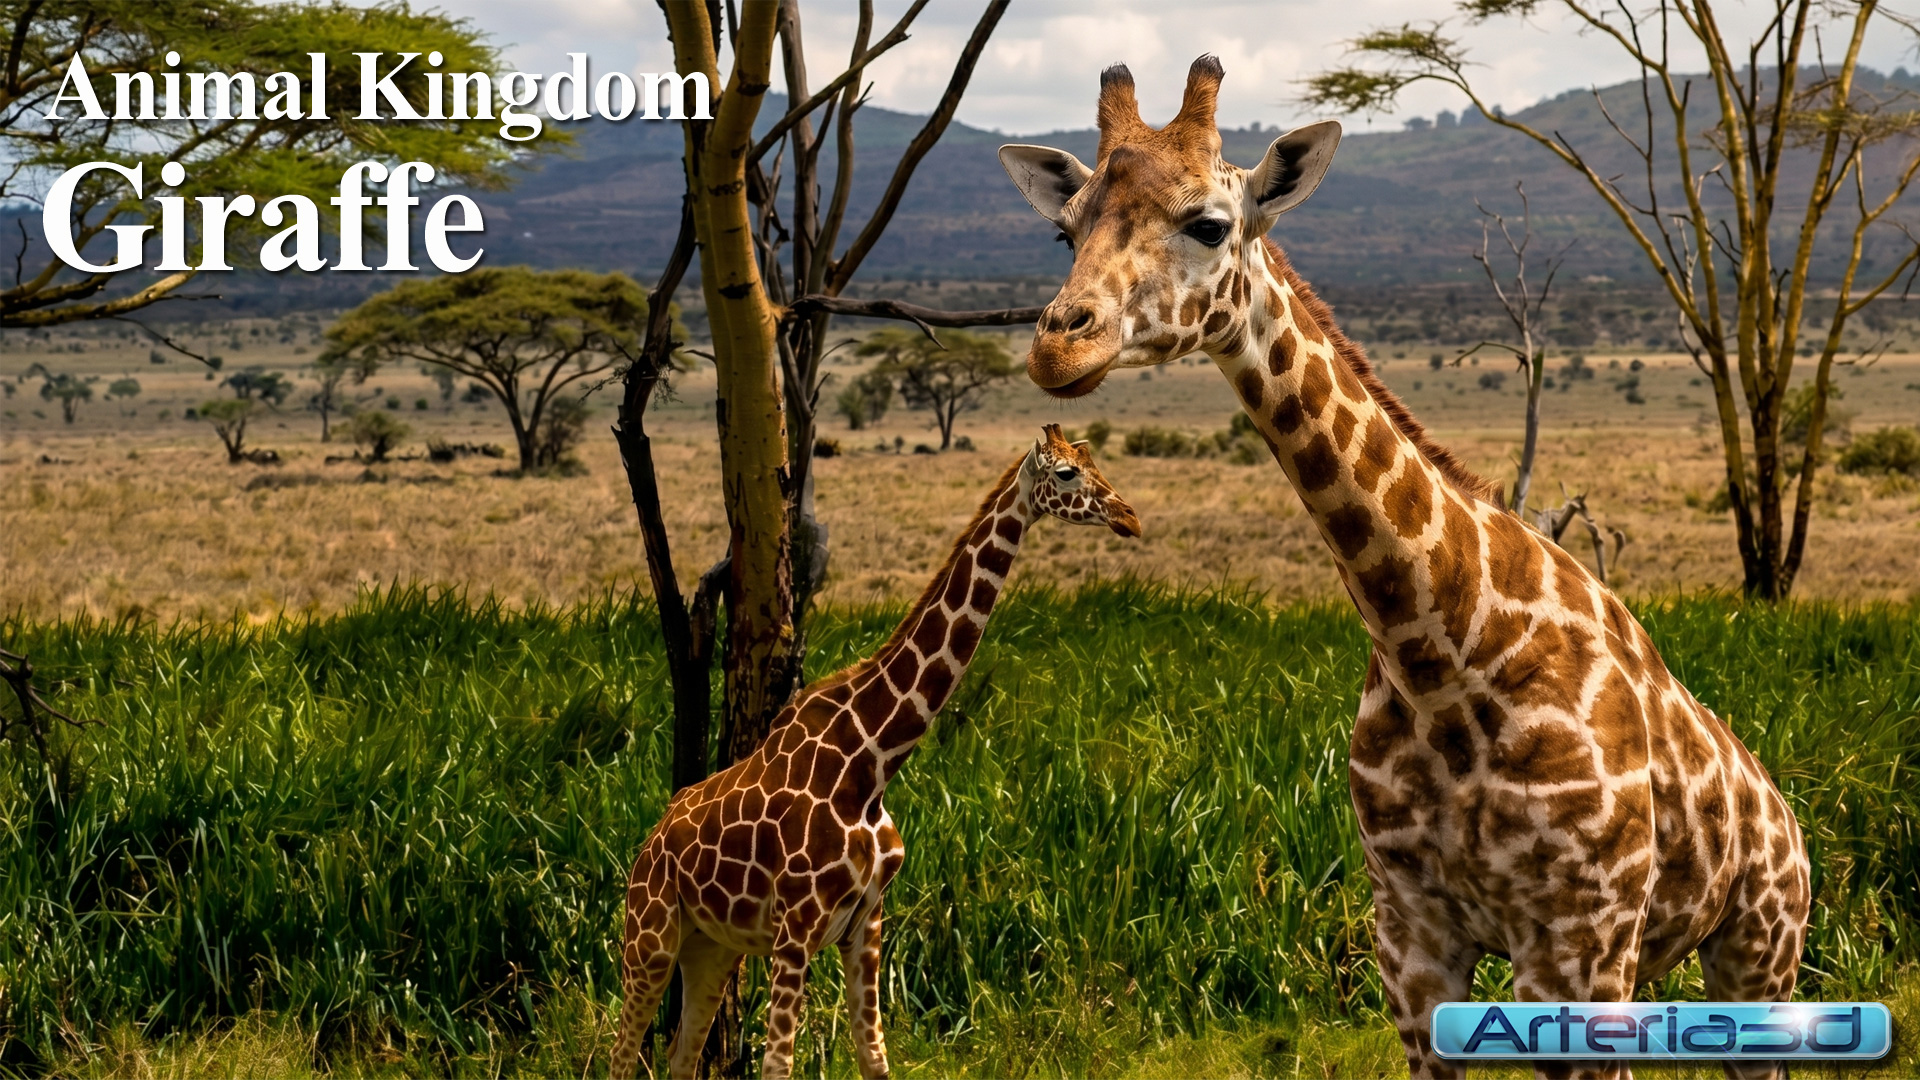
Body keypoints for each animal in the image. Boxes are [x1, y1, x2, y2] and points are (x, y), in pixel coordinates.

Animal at [608, 425, 1141, 1080]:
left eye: (1093, 461)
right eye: (1066, 473)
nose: (1129, 517)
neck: (872, 761)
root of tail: (650, 841)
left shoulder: (867, 922)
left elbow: (876, 1058)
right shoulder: (796, 928)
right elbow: (779, 1064)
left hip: (712, 948)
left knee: (680, 1054)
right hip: (651, 937)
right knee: (618, 1053)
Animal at [998, 57, 1809, 1080]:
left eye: (1209, 224)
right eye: (1064, 231)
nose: (1058, 343)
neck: (1444, 654)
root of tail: (1786, 813)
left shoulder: (1579, 943)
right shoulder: (1412, 939)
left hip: (1759, 948)